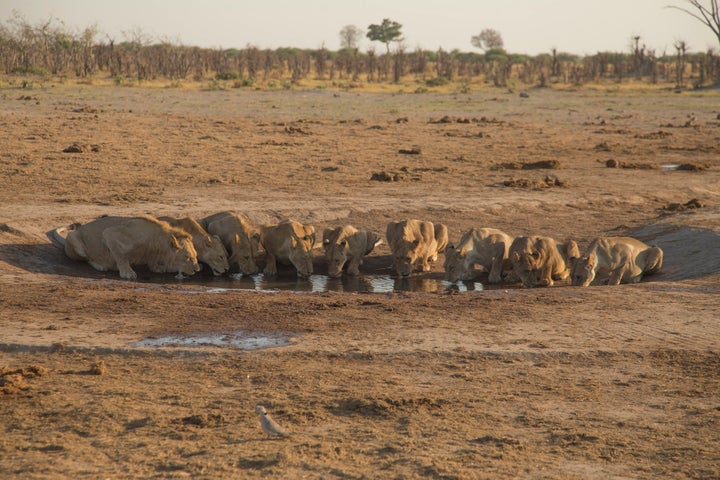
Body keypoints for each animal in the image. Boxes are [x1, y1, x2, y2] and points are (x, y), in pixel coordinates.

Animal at [51, 215, 200, 280]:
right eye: (187, 257)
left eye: (196, 256)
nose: (197, 270)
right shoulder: (110, 233)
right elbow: (121, 256)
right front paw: (127, 272)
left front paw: (157, 267)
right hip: (73, 238)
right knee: (86, 258)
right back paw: (100, 265)